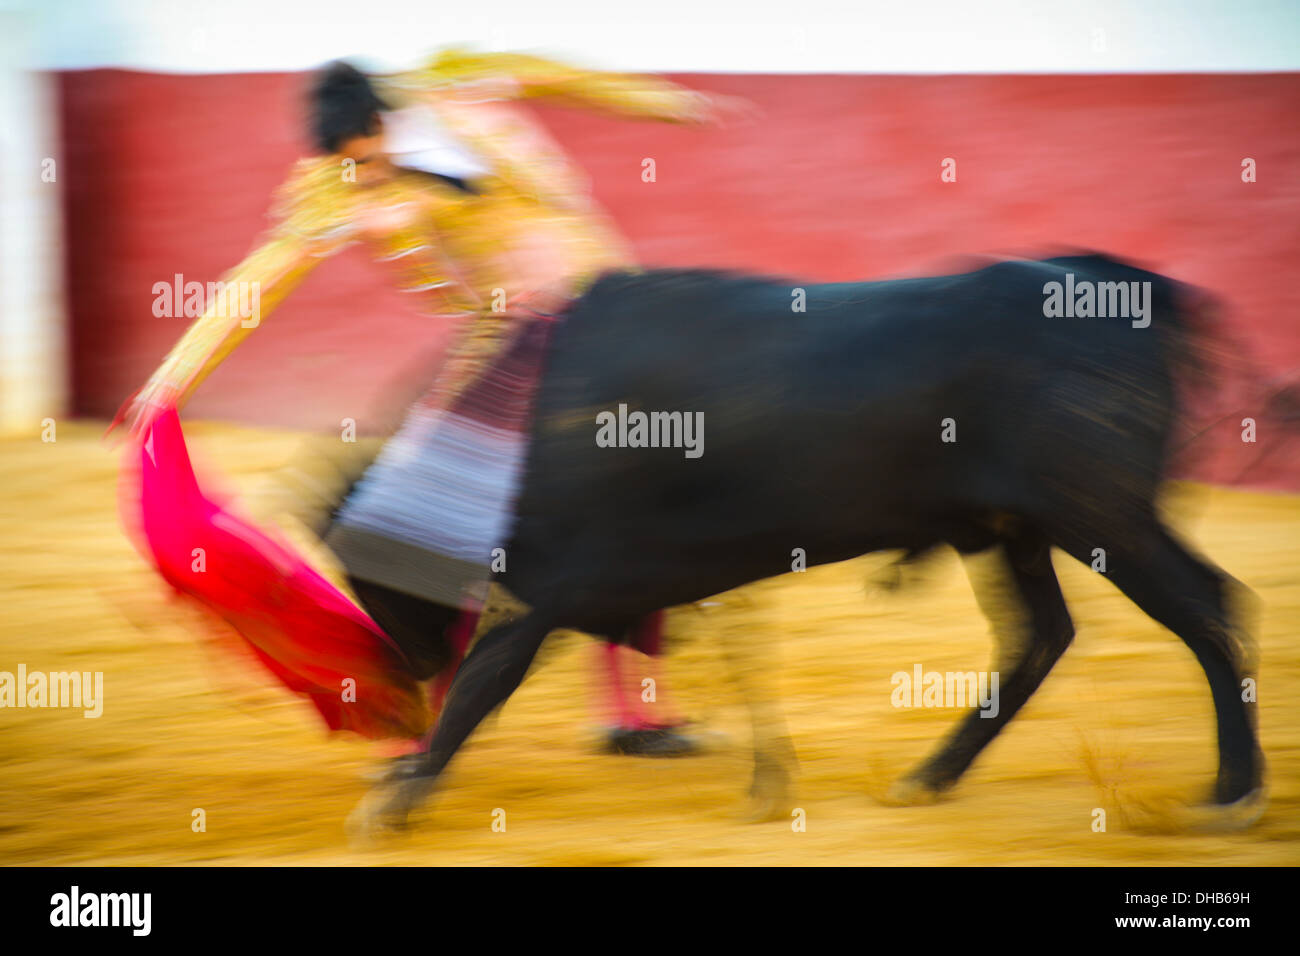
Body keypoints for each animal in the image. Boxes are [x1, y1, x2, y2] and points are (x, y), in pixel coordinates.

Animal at [345, 254, 1258, 832]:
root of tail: (1133, 291)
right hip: (1019, 530)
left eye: (373, 588)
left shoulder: (545, 582)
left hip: (1102, 515)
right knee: (1042, 634)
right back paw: (928, 778)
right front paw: (767, 783)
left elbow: (486, 677)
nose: (398, 701)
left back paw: (1232, 793)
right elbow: (740, 648)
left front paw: (397, 797)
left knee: (1201, 604)